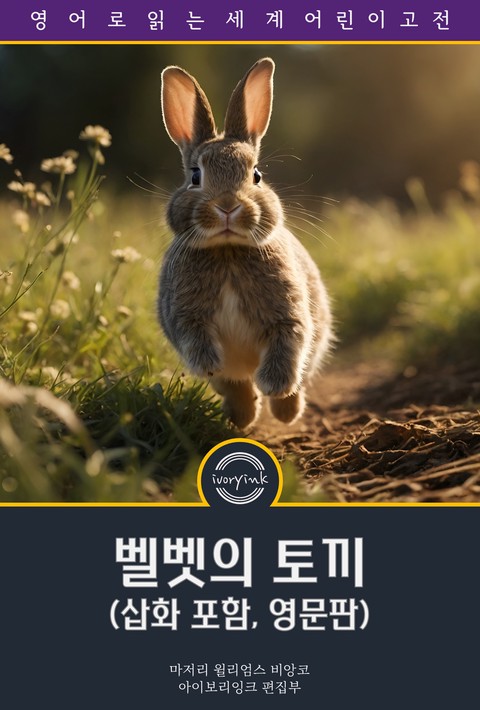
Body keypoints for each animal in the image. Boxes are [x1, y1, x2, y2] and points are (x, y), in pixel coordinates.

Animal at [158, 57, 333, 428]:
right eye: (195, 175)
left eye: (257, 175)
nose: (227, 206)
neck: (227, 252)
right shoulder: (186, 319)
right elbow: (201, 349)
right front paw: (213, 364)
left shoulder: (288, 315)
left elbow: (288, 347)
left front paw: (274, 386)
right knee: (235, 385)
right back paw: (242, 417)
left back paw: (284, 412)